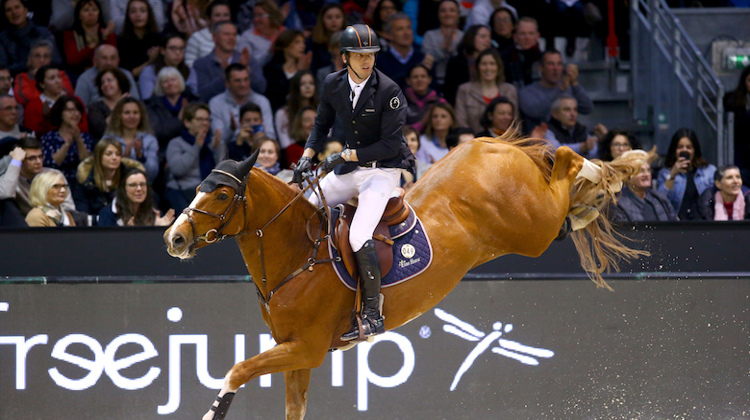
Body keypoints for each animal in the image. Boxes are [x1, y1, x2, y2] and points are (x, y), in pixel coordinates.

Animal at [164, 130, 648, 418]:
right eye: (198, 187)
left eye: (221, 193)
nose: (174, 237)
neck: (298, 254)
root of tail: (491, 144)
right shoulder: (294, 352)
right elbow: (291, 407)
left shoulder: (306, 348)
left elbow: (237, 371)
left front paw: (213, 410)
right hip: (534, 225)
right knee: (565, 197)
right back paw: (592, 199)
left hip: (533, 229)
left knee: (565, 160)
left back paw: (607, 171)